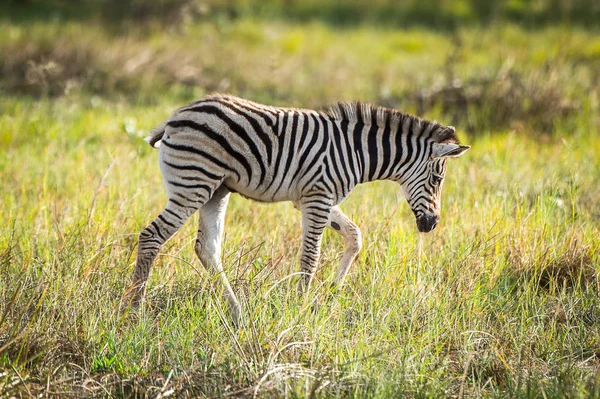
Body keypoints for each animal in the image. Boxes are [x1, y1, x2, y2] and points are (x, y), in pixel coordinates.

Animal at [125, 94, 468, 324]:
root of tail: (176, 115)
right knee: (152, 236)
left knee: (207, 248)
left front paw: (332, 291)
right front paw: (300, 309)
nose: (432, 224)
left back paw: (237, 312)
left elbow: (355, 236)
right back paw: (134, 310)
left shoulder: (315, 198)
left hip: (216, 189)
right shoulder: (318, 196)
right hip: (193, 184)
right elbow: (310, 257)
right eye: (438, 179)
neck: (357, 152)